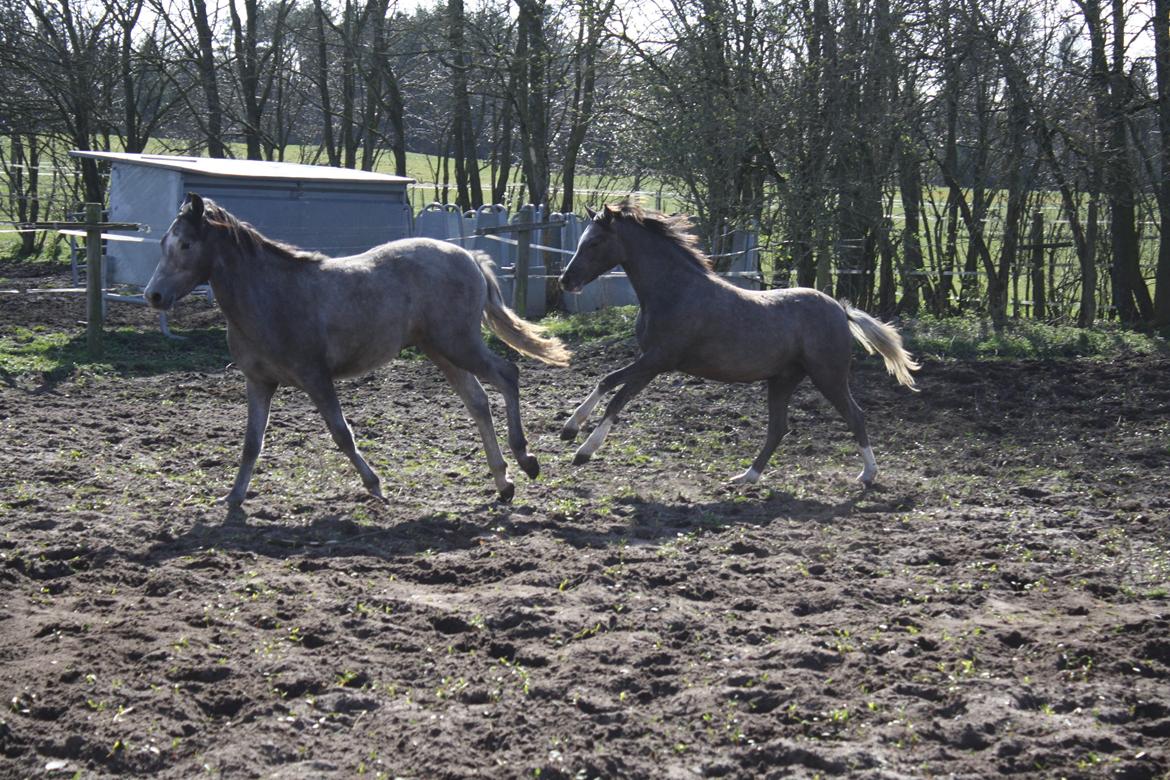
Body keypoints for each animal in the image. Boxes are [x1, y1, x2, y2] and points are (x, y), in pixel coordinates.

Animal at [143, 191, 568, 502]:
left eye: (185, 244)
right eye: (163, 242)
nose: (154, 295)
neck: (270, 295)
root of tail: (469, 256)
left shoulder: (315, 376)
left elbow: (341, 433)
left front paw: (376, 486)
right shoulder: (259, 382)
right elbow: (251, 443)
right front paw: (232, 499)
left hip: (459, 343)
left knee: (507, 374)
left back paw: (526, 459)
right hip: (440, 350)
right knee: (478, 401)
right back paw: (503, 482)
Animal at [559, 201, 921, 488]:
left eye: (594, 242)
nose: (565, 280)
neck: (674, 292)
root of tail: (841, 310)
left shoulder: (658, 361)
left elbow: (616, 397)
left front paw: (583, 450)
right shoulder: (647, 358)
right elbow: (606, 382)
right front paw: (569, 429)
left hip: (828, 376)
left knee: (854, 416)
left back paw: (868, 475)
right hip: (783, 380)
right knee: (778, 429)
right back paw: (746, 477)